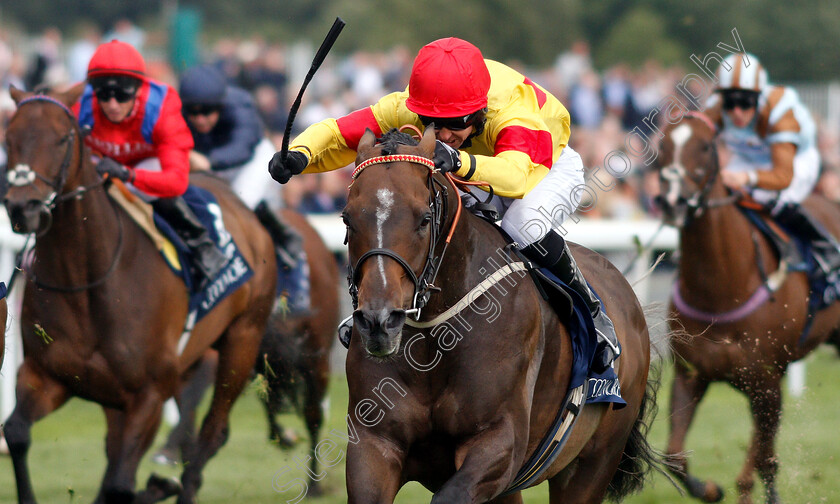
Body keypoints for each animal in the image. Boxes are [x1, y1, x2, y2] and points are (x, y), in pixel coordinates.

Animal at [3, 84, 278, 502]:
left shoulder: (148, 393)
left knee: (211, 434)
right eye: (9, 137)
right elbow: (16, 433)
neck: (88, 283)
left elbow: (120, 484)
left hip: (242, 340)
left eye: (62, 138)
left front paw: (158, 483)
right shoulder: (47, 374)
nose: (23, 207)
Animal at [342, 127, 664, 504]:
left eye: (423, 219)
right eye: (347, 218)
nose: (379, 321)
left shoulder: (499, 441)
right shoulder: (374, 444)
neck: (435, 340)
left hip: (593, 462)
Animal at [656, 111, 840, 504]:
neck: (722, 287)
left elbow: (766, 460)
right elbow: (675, 456)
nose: (674, 201)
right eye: (661, 145)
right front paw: (711, 489)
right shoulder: (691, 374)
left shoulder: (766, 381)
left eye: (705, 146)